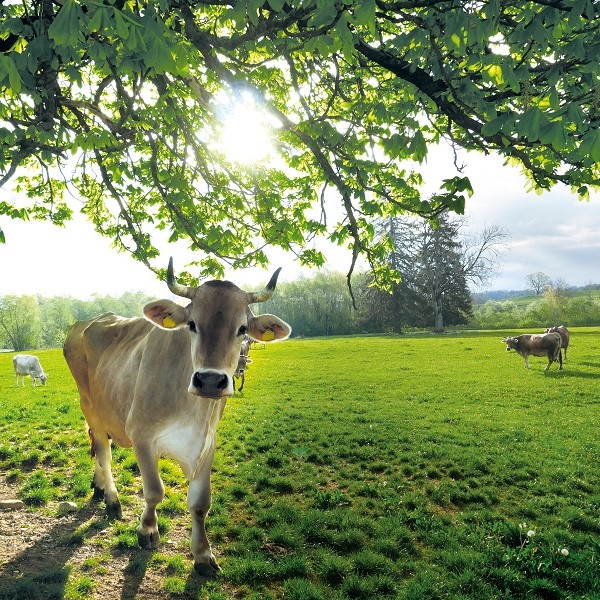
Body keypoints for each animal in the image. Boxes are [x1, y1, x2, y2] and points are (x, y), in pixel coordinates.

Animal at [62, 258, 292, 576]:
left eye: (243, 328)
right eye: (192, 324)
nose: (210, 380)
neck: (192, 411)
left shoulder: (207, 443)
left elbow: (200, 502)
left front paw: (203, 554)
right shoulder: (142, 436)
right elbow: (154, 491)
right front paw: (147, 531)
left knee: (97, 448)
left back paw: (98, 488)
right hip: (90, 406)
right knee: (103, 452)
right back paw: (111, 499)